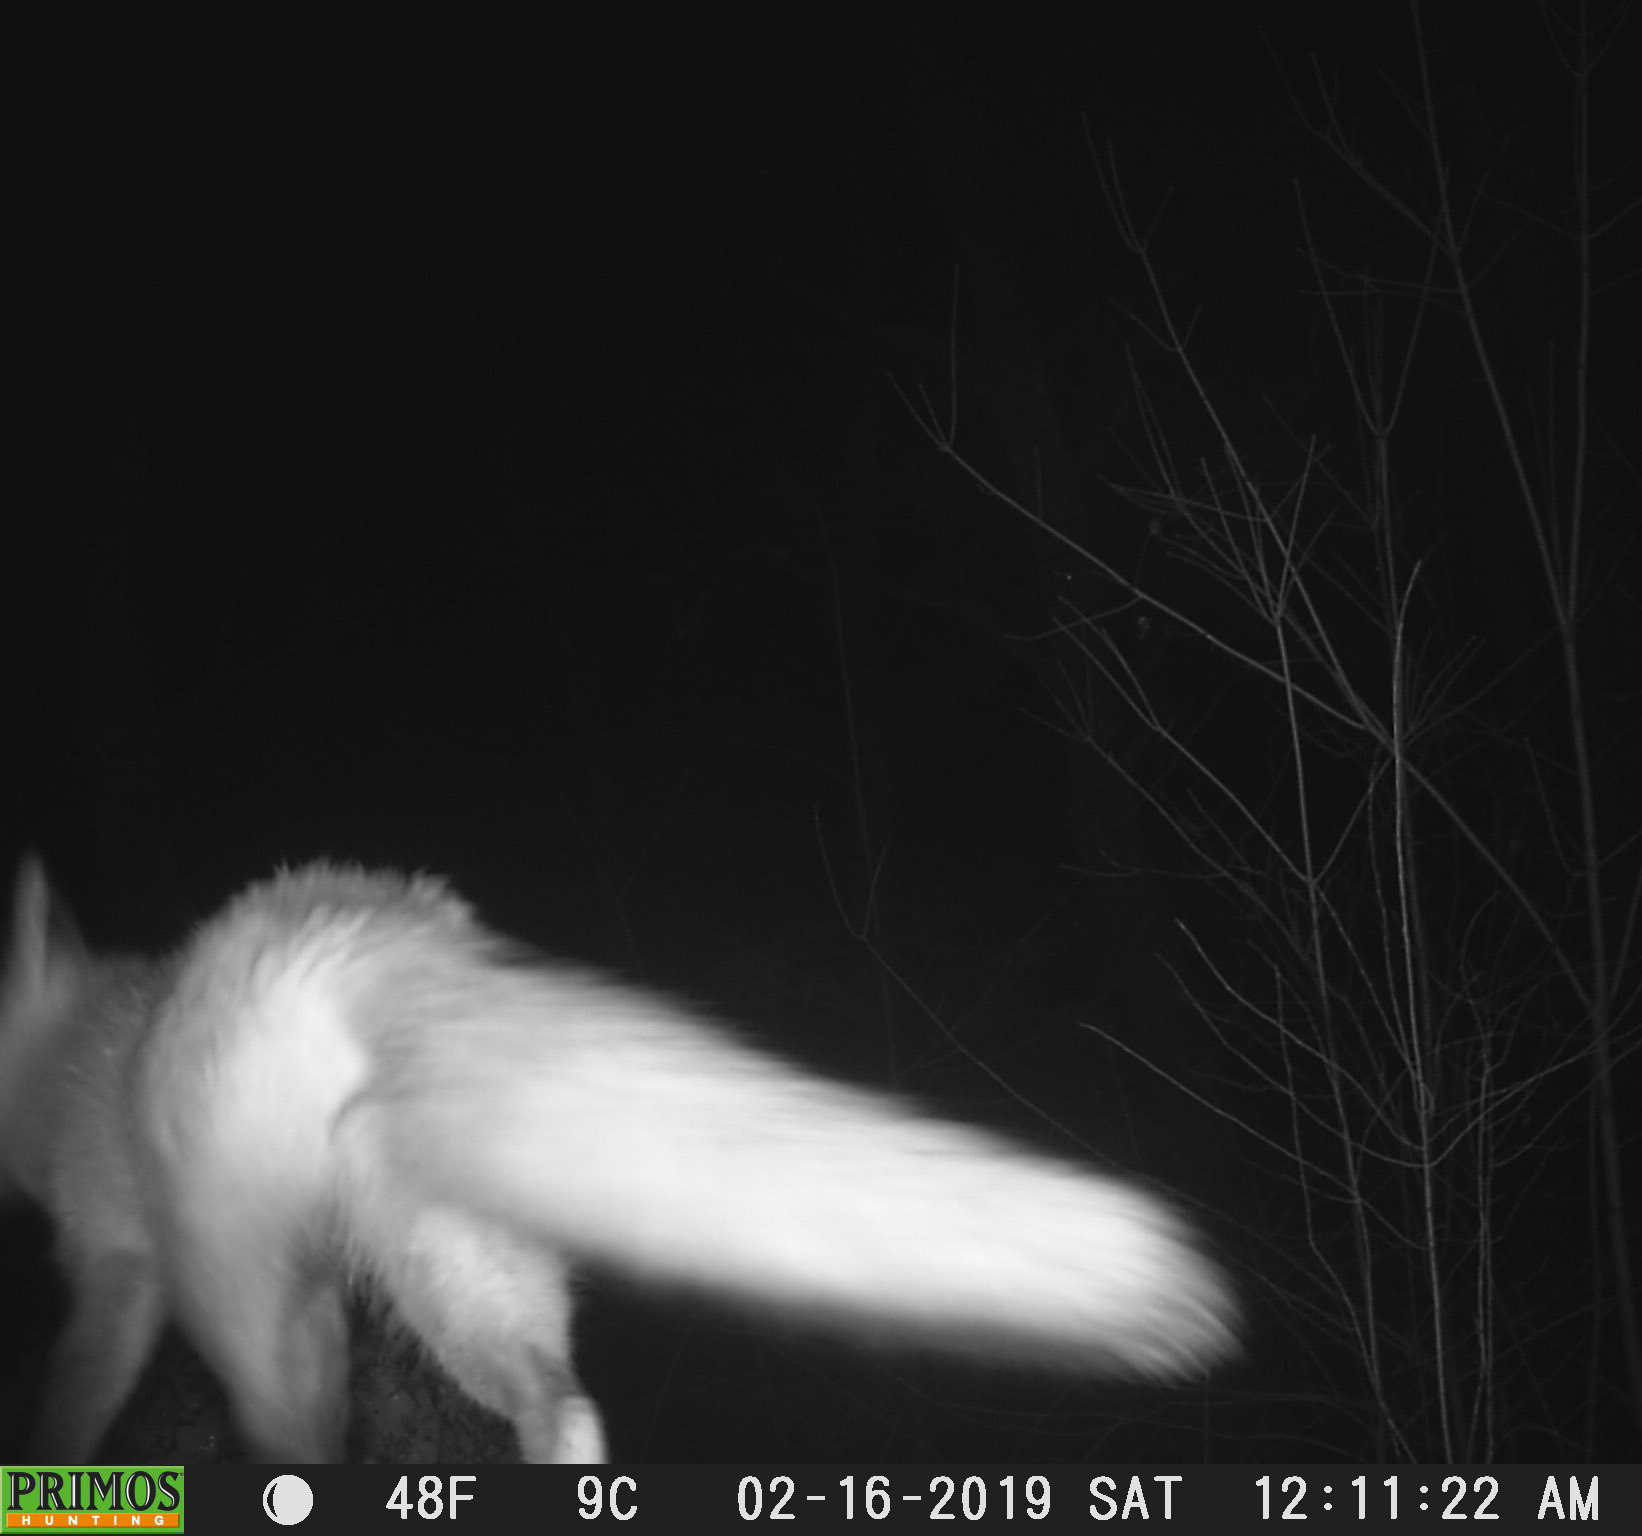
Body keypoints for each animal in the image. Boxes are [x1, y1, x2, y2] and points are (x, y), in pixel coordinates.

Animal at [0, 855, 1237, 1463]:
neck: (66, 1046)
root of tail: (367, 932)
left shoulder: (119, 1266)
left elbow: (71, 1400)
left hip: (261, 1303)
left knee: (302, 1438)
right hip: (458, 1269)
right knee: (562, 1410)